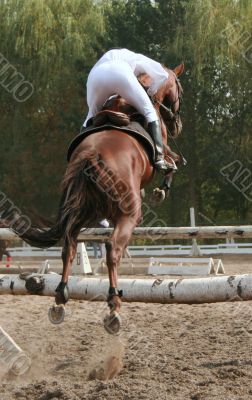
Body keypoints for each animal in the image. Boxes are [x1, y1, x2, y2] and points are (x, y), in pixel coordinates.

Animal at [8, 61, 185, 332]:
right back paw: (113, 305)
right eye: (180, 91)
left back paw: (60, 298)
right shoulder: (162, 148)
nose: (177, 126)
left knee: (69, 247)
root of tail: (91, 155)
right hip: (128, 215)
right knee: (112, 249)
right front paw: (159, 190)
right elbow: (171, 162)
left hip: (82, 210)